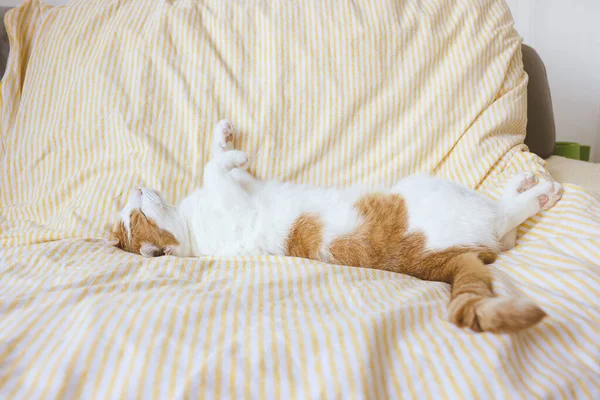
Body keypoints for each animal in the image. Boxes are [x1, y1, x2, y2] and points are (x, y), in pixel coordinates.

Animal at [106, 119, 564, 334]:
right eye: (136, 218)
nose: (136, 188)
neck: (190, 228)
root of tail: (445, 264)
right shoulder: (229, 199)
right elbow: (212, 167)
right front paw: (235, 154)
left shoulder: (243, 186)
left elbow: (216, 157)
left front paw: (226, 138)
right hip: (438, 197)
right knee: (503, 220)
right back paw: (540, 193)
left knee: (506, 236)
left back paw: (522, 184)